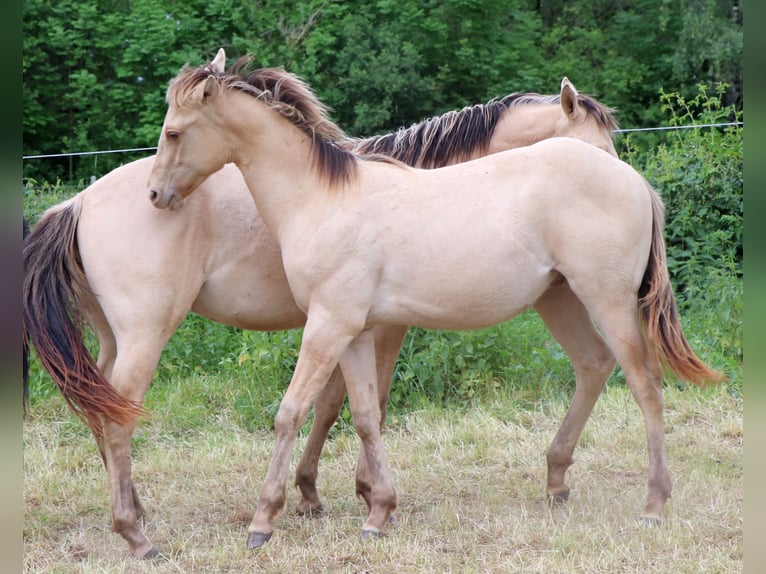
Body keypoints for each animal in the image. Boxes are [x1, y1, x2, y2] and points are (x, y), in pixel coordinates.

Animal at [146, 51, 728, 552]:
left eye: (174, 131)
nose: (155, 195)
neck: (321, 198)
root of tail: (635, 184)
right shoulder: (356, 331)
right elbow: (363, 413)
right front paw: (377, 511)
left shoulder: (330, 326)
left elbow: (293, 412)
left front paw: (265, 519)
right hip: (561, 301)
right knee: (594, 366)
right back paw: (557, 482)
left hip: (607, 302)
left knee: (646, 385)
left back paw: (653, 505)